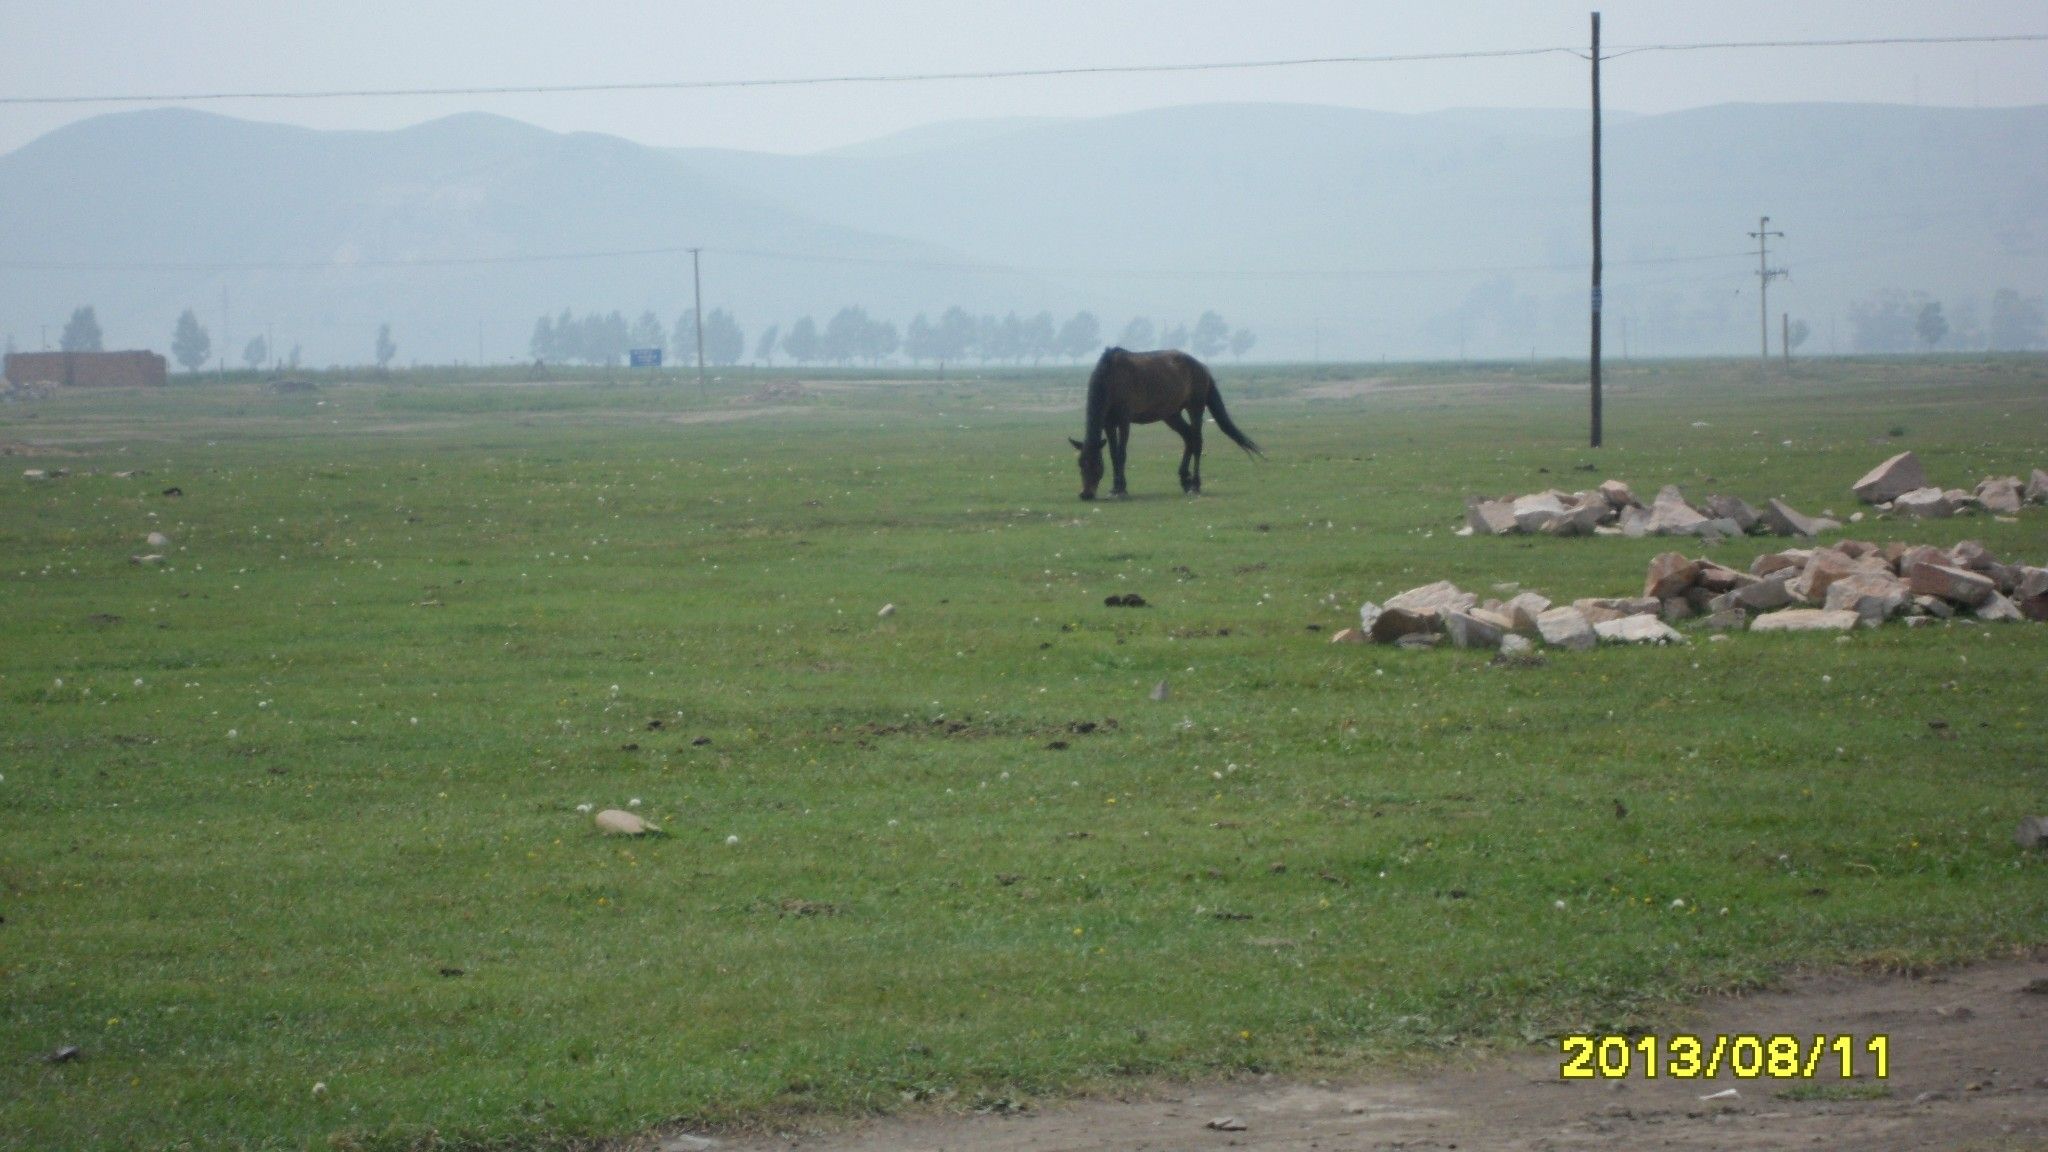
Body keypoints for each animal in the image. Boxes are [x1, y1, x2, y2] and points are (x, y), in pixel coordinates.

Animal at [1073, 344, 1261, 498]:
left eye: (1096, 465)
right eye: (1080, 464)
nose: (1085, 494)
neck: (1111, 377)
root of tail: (1203, 367)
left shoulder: (1124, 420)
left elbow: (1121, 453)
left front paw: (1121, 489)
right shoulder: (1109, 423)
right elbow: (1113, 454)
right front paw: (1115, 488)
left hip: (1195, 408)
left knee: (1197, 442)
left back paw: (1195, 485)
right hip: (1172, 415)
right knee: (1189, 438)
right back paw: (1185, 480)